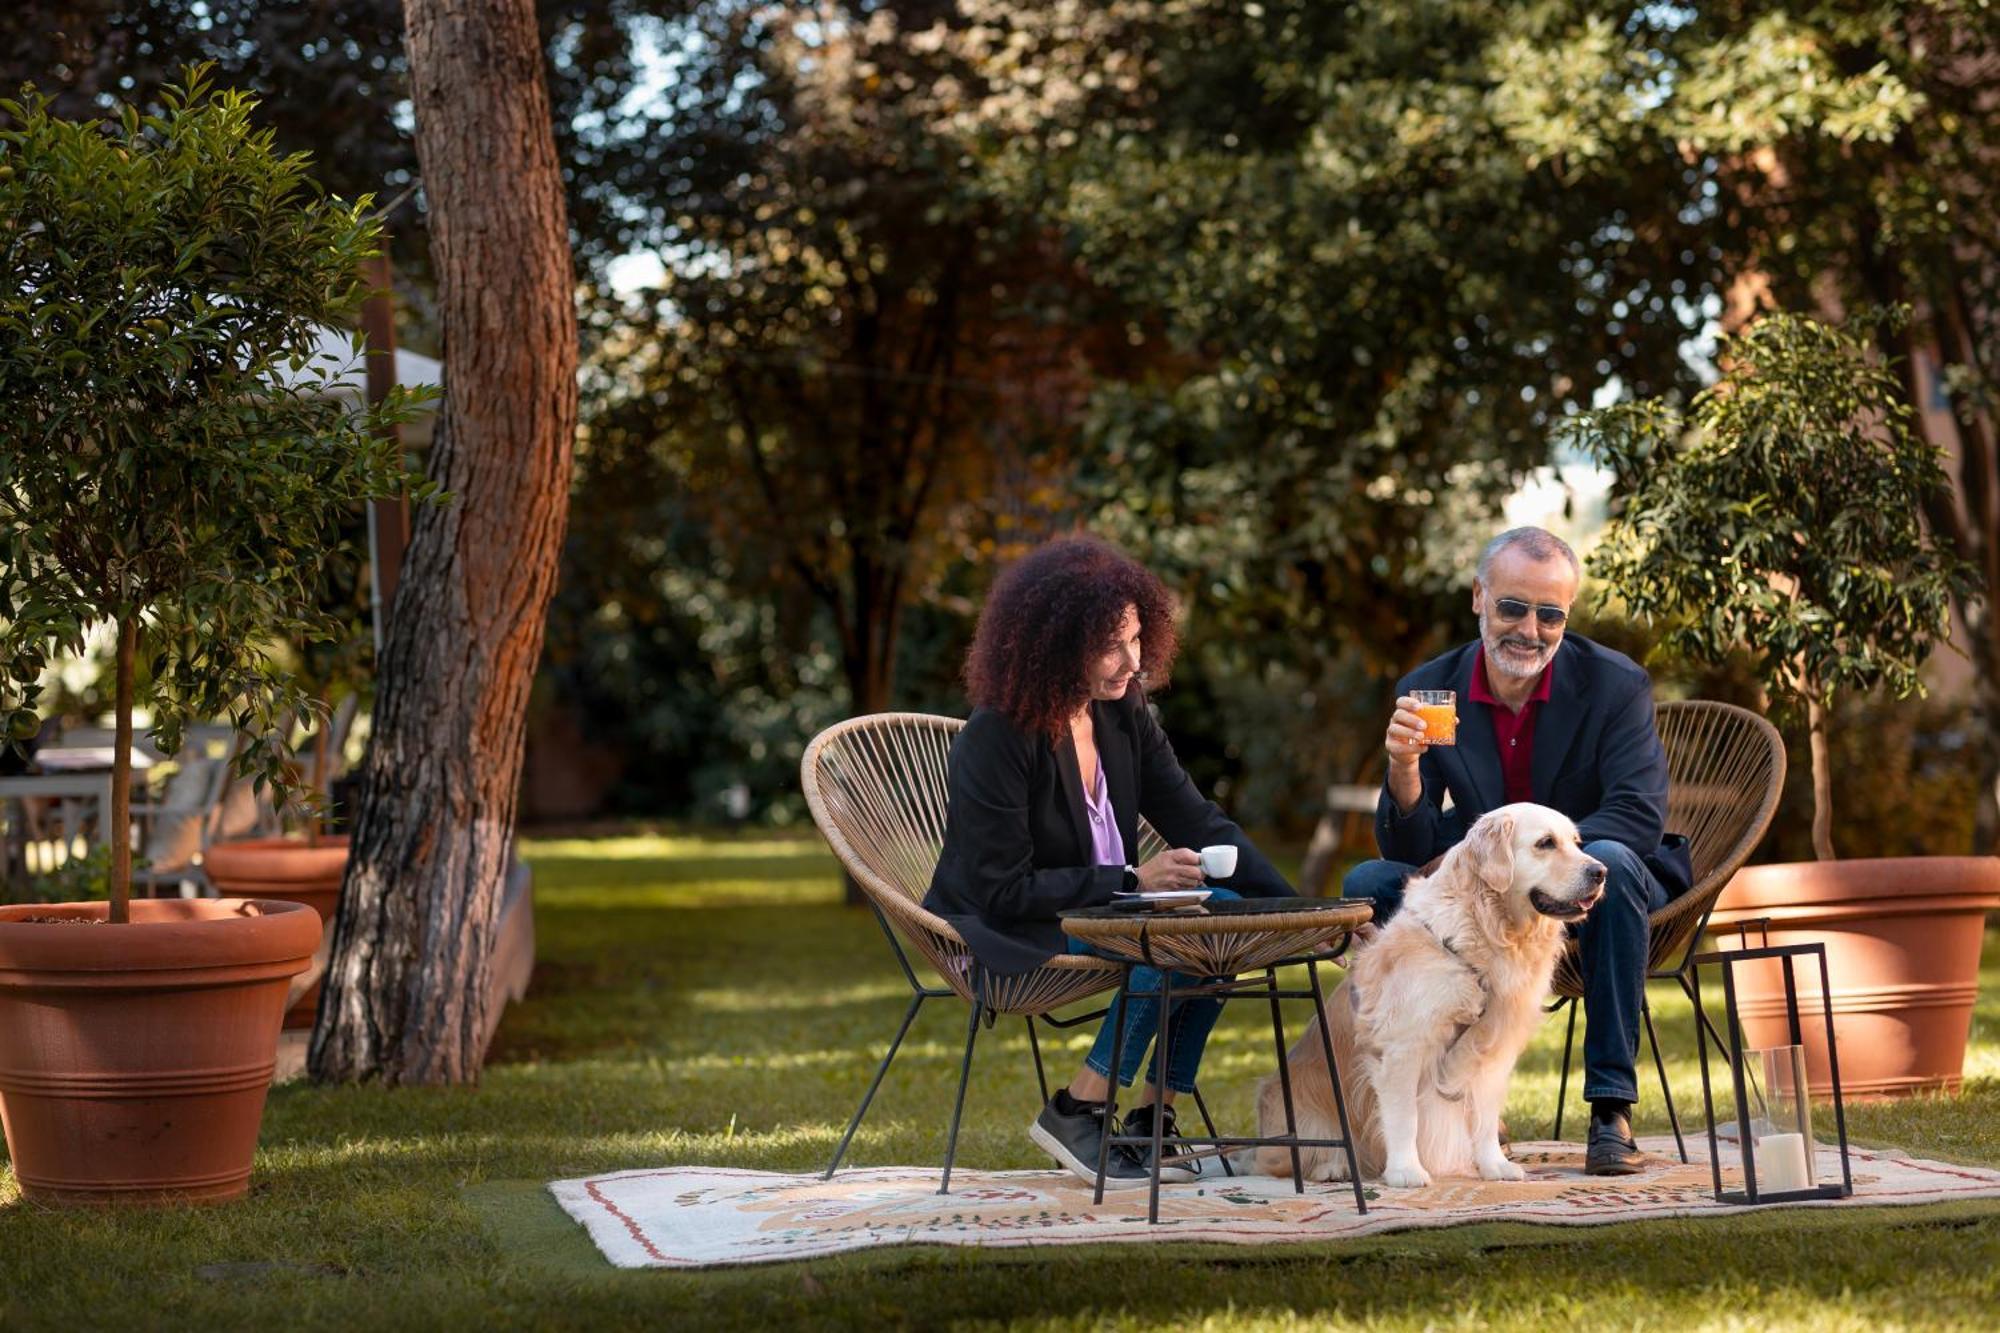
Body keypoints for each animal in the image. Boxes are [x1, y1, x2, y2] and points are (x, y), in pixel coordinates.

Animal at [1256, 800, 1616, 1184]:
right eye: (1545, 843)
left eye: (1576, 842)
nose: (1600, 872)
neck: (1485, 932)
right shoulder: (1403, 1046)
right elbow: (1404, 1118)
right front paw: (1406, 1171)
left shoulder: (1493, 1050)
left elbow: (1485, 1116)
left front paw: (1494, 1165)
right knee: (1283, 1159)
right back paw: (1331, 1167)